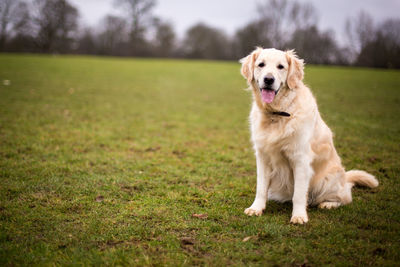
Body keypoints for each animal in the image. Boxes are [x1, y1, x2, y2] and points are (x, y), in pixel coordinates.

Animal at [241, 47, 378, 224]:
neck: (278, 113)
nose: (268, 79)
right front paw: (256, 208)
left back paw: (328, 204)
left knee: (345, 197)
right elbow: (261, 188)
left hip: (327, 180)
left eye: (281, 66)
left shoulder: (300, 159)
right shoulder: (263, 156)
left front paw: (299, 216)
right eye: (261, 64)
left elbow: (299, 194)